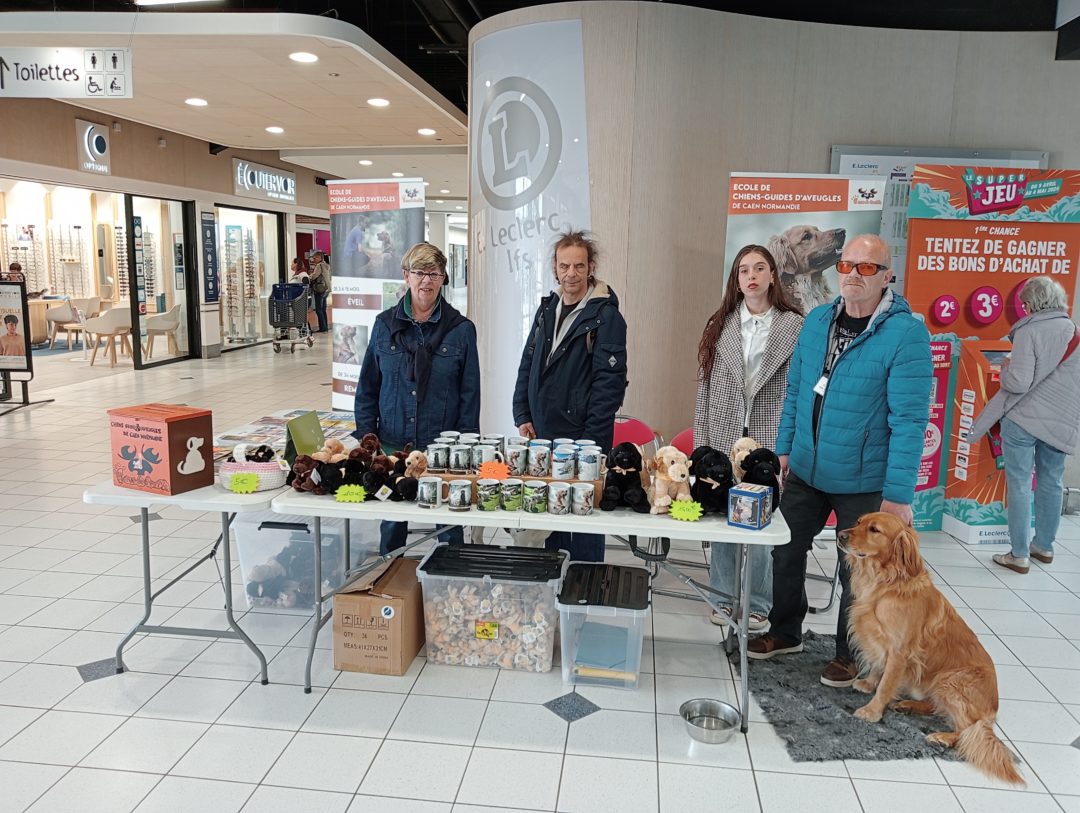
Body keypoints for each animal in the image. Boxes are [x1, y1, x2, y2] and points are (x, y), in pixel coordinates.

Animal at [838, 513, 1023, 786]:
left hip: (952, 681)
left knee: (967, 730)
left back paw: (943, 737)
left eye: (874, 530)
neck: (884, 582)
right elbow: (877, 667)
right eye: (859, 522)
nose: (840, 534)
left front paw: (872, 711)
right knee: (938, 707)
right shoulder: (880, 642)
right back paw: (907, 706)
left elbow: (886, 685)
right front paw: (868, 683)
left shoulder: (899, 651)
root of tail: (993, 709)